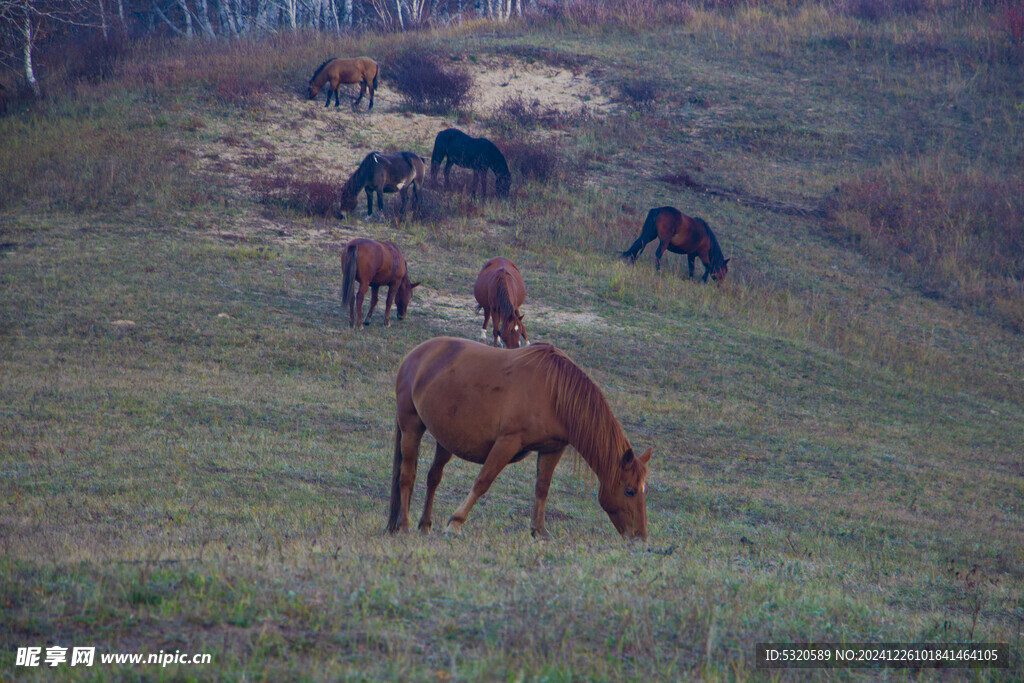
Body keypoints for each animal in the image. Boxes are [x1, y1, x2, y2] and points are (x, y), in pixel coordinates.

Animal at [387, 335, 651, 540]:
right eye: (629, 491)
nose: (639, 538)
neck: (554, 393)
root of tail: (414, 355)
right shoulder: (507, 442)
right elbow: (482, 482)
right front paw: (455, 523)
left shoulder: (552, 448)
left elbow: (542, 487)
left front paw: (540, 531)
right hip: (411, 427)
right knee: (407, 476)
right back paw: (405, 525)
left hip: (445, 440)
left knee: (433, 477)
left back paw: (424, 526)